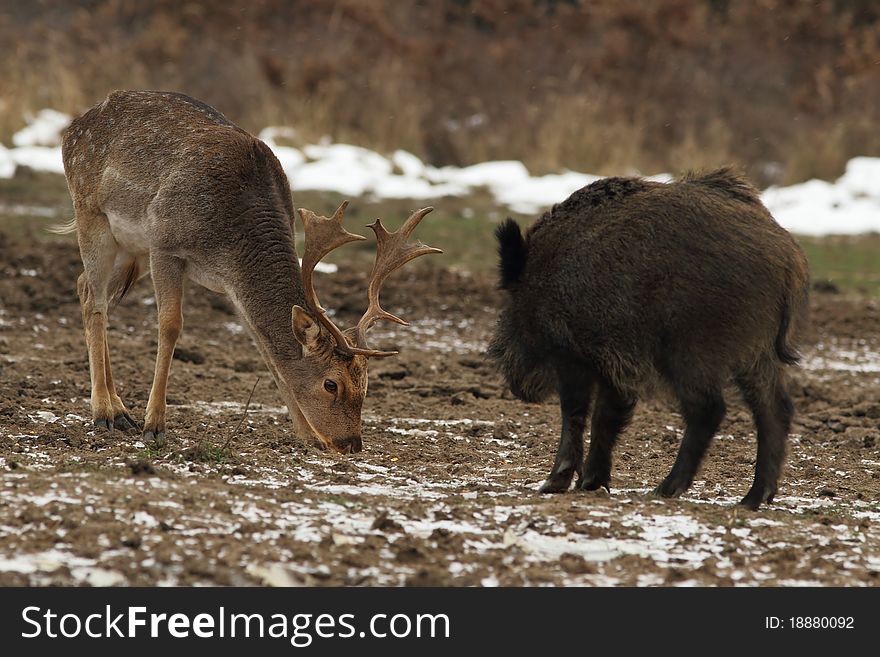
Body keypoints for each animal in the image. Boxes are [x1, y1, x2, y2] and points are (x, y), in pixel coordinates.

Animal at [55, 91, 440, 452]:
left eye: (366, 384)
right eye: (331, 383)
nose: (350, 444)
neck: (228, 242)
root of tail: (73, 128)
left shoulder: (231, 283)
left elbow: (263, 346)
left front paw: (306, 435)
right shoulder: (165, 244)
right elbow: (170, 326)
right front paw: (155, 426)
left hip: (131, 248)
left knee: (86, 288)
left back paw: (120, 410)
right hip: (91, 213)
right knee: (95, 300)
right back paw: (105, 413)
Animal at [492, 168, 808, 508]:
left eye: (511, 301)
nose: (516, 386)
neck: (544, 275)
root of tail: (787, 255)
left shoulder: (575, 352)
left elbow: (576, 412)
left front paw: (552, 484)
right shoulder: (614, 362)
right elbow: (606, 416)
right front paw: (590, 483)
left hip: (692, 349)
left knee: (708, 409)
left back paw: (664, 490)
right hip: (756, 352)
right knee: (774, 410)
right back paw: (751, 500)